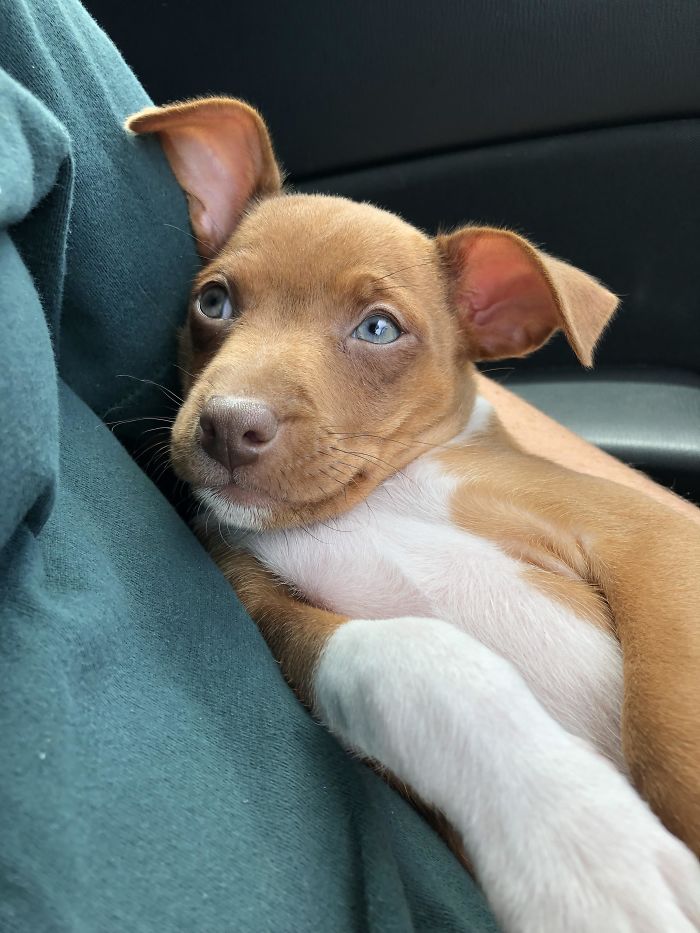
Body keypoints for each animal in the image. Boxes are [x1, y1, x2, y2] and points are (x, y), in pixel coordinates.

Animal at [127, 98, 700, 928]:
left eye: (377, 328)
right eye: (214, 301)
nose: (228, 424)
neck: (381, 499)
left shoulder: (649, 536)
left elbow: (669, 721)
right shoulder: (271, 611)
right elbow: (411, 657)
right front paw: (577, 844)